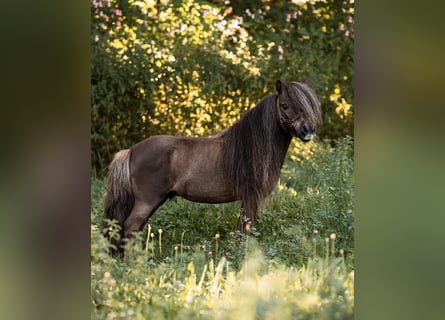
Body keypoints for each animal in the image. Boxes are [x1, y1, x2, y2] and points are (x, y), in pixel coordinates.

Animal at [103, 79, 320, 248]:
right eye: (285, 105)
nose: (308, 129)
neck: (250, 145)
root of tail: (131, 151)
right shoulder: (251, 197)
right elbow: (245, 229)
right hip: (147, 201)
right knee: (130, 228)